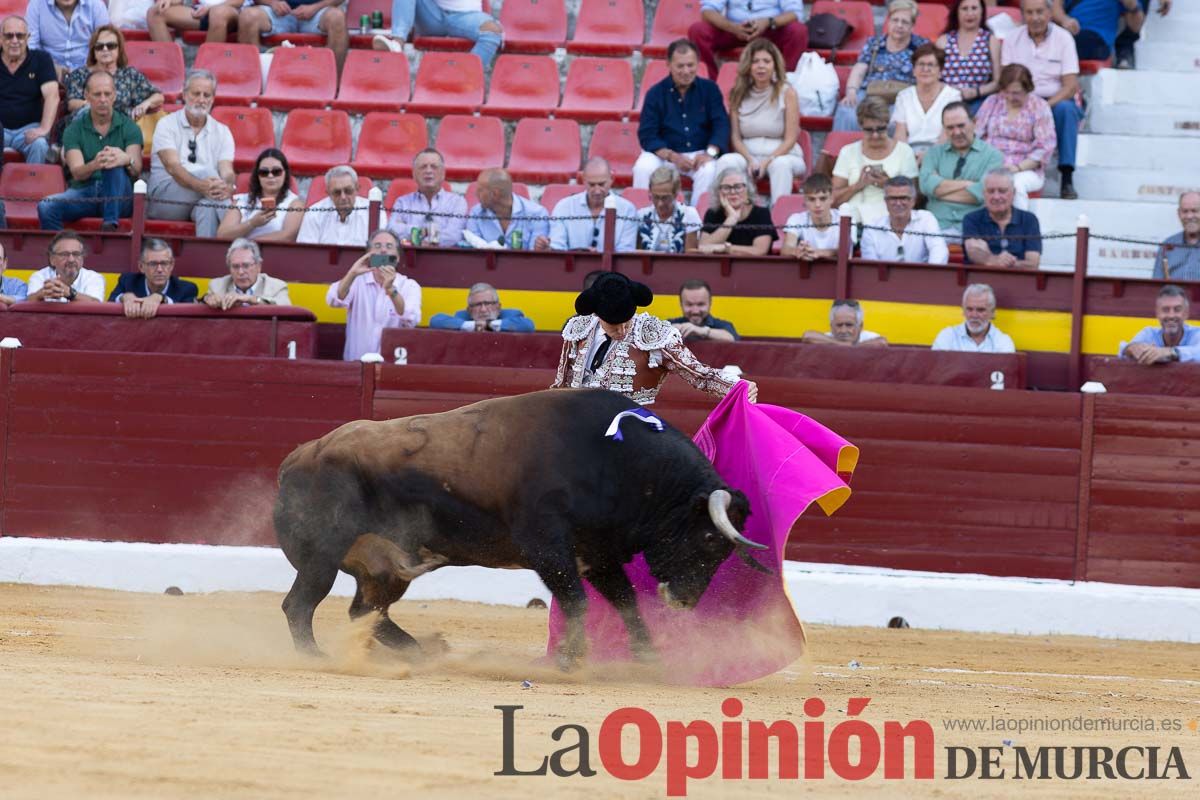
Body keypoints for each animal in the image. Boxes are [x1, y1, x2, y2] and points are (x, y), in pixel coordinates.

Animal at [274, 388, 763, 671]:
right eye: (708, 538)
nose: (685, 600)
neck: (620, 463)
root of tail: (299, 455)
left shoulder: (596, 552)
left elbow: (624, 602)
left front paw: (648, 659)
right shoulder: (547, 547)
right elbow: (577, 601)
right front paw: (569, 659)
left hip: (388, 566)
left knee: (366, 611)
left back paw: (421, 652)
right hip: (323, 555)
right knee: (300, 604)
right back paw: (314, 657)